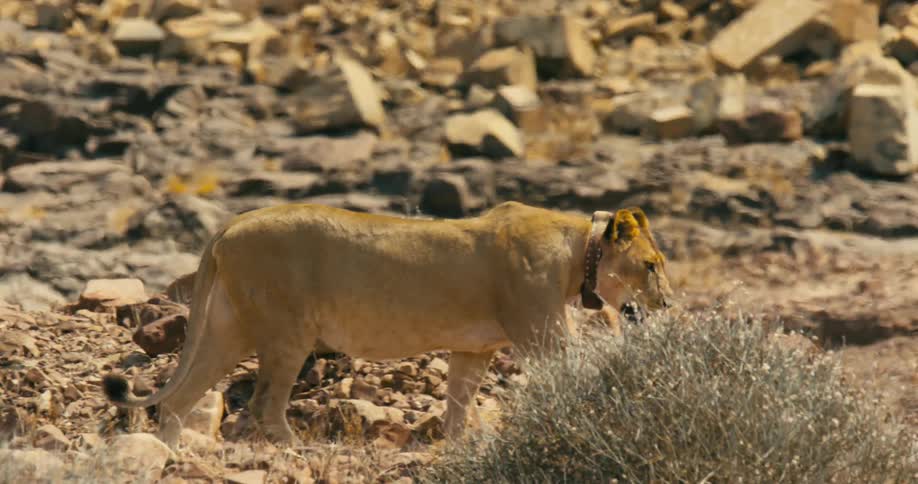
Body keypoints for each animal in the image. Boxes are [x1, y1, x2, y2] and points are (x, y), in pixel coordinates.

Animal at [102, 201, 672, 448]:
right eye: (652, 265)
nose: (667, 304)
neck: (579, 252)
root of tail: (233, 222)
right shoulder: (540, 333)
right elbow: (570, 378)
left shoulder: (474, 349)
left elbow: (459, 403)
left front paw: (458, 446)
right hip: (286, 332)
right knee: (264, 405)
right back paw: (299, 448)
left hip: (227, 330)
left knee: (177, 399)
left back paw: (168, 455)